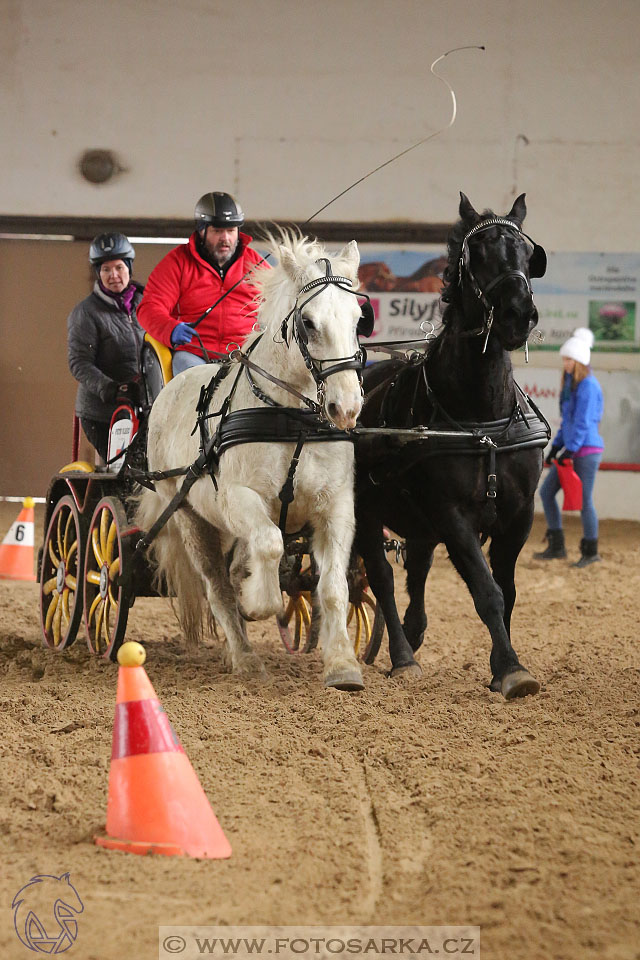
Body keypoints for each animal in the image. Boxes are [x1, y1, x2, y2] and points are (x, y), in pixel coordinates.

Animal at [138, 232, 368, 688]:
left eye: (357, 319)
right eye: (308, 322)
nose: (346, 408)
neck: (293, 421)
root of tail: (169, 390)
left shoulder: (335, 506)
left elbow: (333, 587)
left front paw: (343, 665)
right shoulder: (237, 499)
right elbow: (269, 543)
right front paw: (259, 603)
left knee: (234, 570)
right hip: (189, 515)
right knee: (217, 585)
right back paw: (244, 656)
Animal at [356, 193, 552, 696]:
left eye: (528, 254)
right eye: (476, 254)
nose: (518, 314)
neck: (482, 420)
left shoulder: (519, 515)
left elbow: (508, 592)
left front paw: (505, 664)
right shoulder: (452, 514)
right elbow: (487, 591)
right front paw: (510, 669)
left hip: (419, 520)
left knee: (417, 569)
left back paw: (413, 632)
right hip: (364, 509)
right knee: (381, 577)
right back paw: (403, 656)